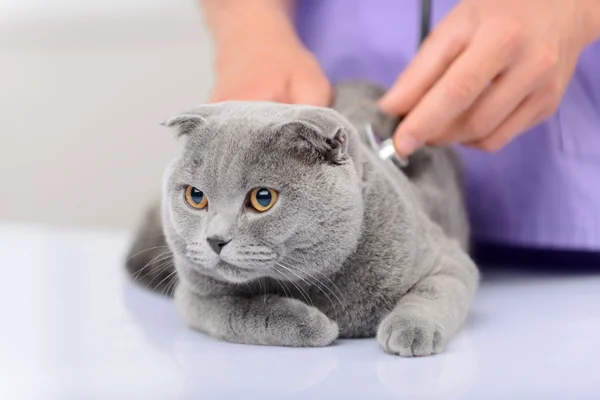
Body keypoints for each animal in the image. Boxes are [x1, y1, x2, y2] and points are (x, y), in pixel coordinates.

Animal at [126, 81, 478, 356]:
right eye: (195, 196)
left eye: (262, 198)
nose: (215, 239)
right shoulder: (194, 297)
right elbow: (236, 310)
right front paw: (313, 325)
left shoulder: (449, 260)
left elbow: (432, 292)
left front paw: (411, 331)